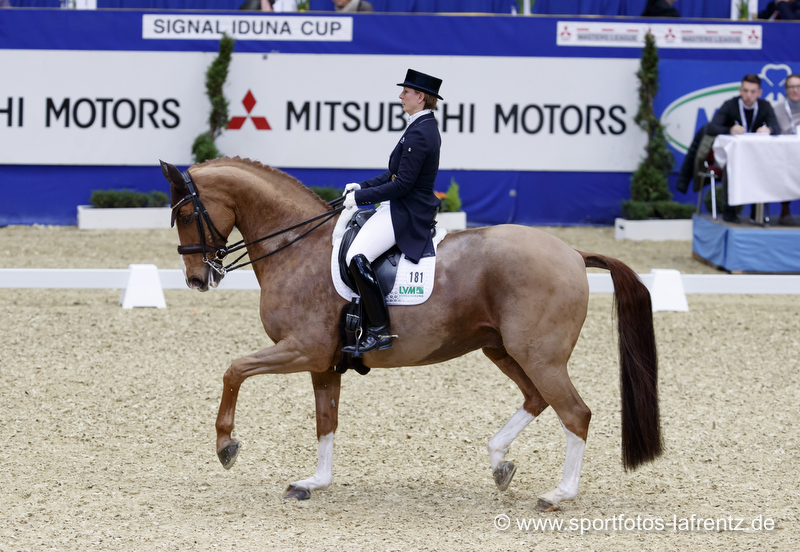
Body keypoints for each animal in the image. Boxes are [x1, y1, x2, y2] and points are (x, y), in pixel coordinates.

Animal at [159, 156, 660, 508]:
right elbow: (326, 421)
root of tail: (573, 253)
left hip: (539, 354)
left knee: (575, 412)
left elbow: (234, 370)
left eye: (183, 215)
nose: (196, 279)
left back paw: (558, 494)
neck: (297, 247)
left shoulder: (301, 350)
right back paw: (500, 462)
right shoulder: (324, 363)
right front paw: (313, 482)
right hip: (502, 349)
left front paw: (226, 445)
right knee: (537, 399)